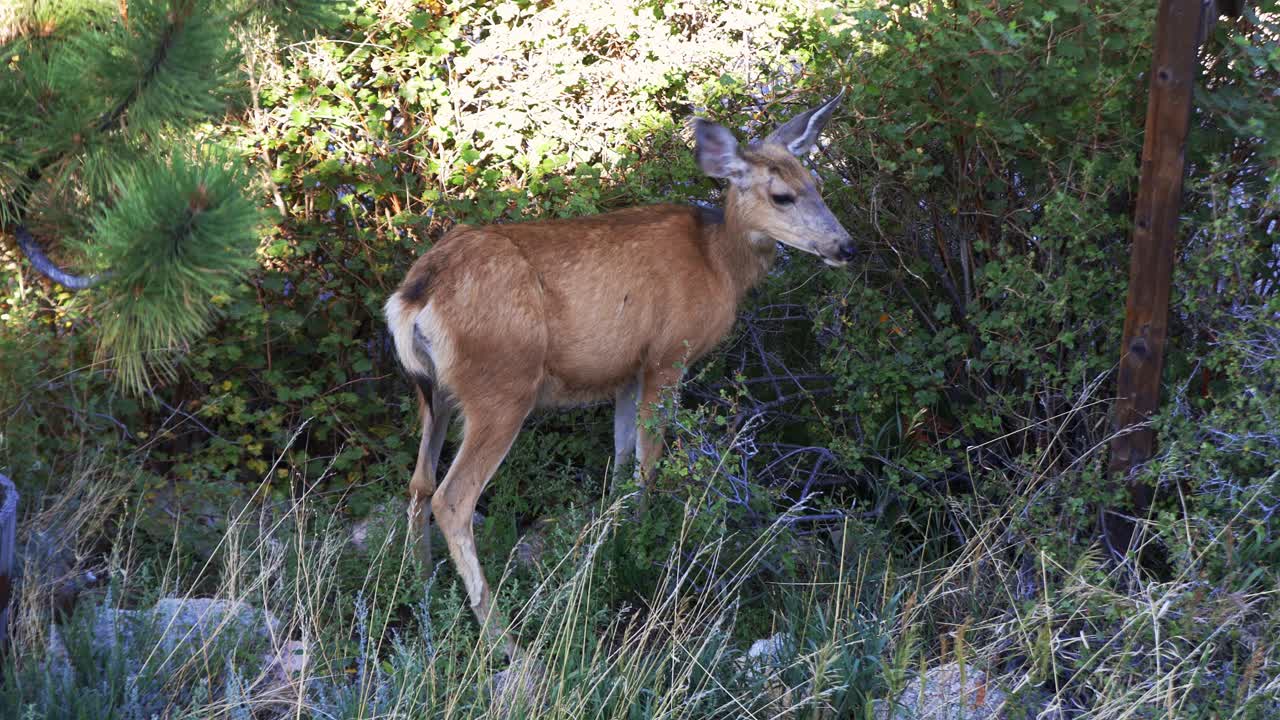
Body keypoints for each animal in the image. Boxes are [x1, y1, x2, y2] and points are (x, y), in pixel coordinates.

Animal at [384, 92, 853, 650]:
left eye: (816, 184)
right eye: (782, 195)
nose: (846, 246)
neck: (719, 261)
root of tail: (416, 295)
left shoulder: (627, 371)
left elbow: (622, 464)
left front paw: (610, 542)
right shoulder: (668, 355)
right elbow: (648, 465)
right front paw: (642, 544)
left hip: (433, 394)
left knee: (418, 484)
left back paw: (421, 588)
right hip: (501, 387)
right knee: (453, 499)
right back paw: (501, 636)